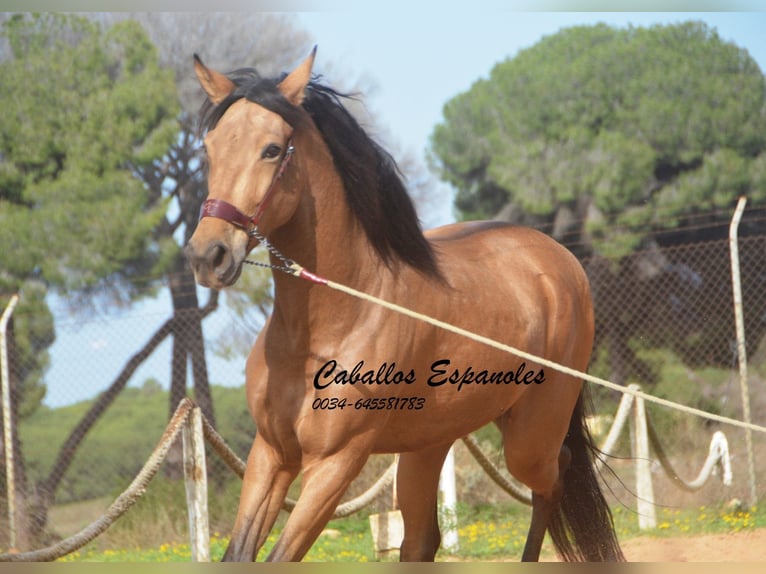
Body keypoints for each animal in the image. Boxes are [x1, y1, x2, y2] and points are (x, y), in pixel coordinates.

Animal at [184, 48, 624, 564]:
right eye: (209, 149)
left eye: (271, 149)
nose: (208, 256)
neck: (327, 326)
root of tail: (561, 259)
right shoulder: (270, 454)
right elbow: (238, 554)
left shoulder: (335, 463)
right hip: (428, 445)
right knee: (423, 539)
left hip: (529, 440)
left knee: (555, 479)